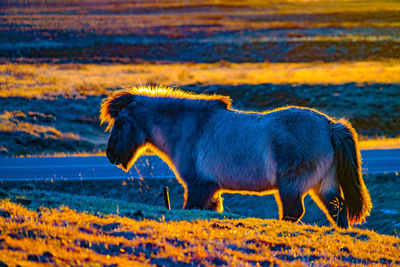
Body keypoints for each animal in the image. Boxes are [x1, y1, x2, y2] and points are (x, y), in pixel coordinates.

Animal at [100, 86, 372, 228]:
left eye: (120, 123)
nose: (110, 155)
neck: (190, 127)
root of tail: (329, 126)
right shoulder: (211, 190)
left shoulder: (198, 187)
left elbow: (191, 209)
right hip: (324, 186)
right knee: (338, 212)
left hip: (290, 188)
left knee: (294, 213)